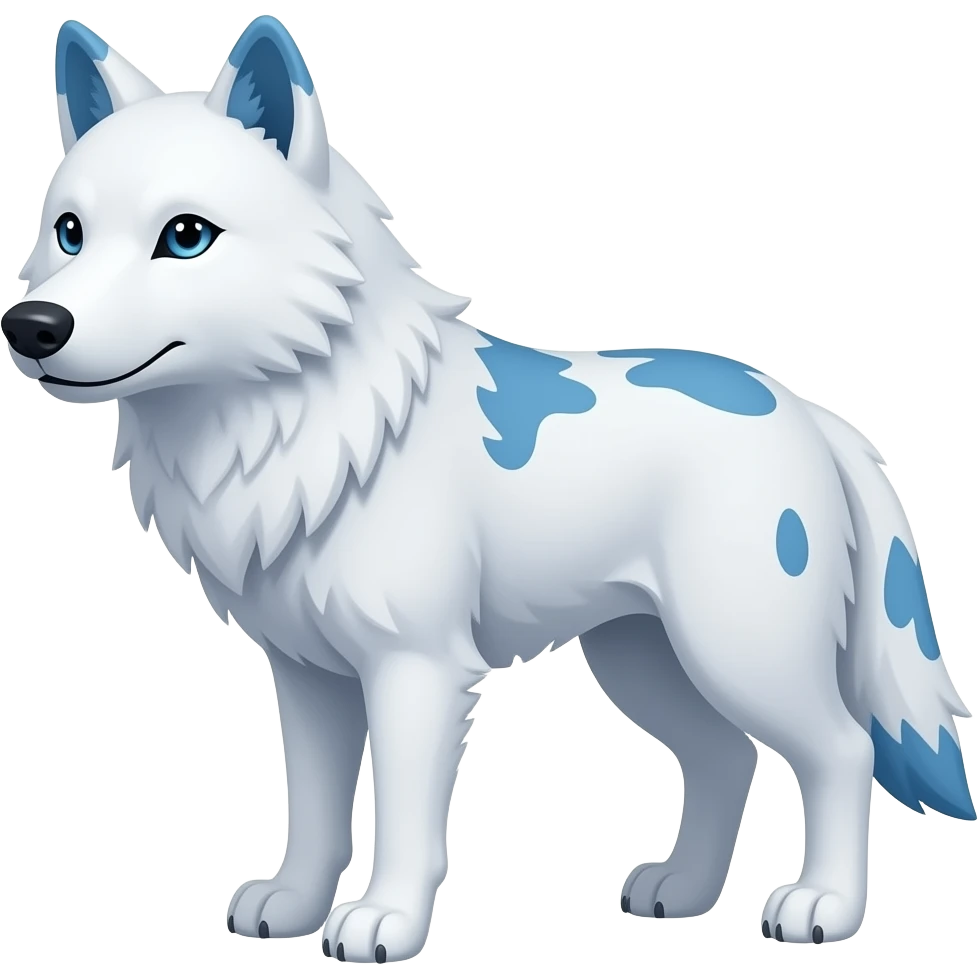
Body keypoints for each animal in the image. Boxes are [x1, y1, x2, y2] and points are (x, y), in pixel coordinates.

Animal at [2, 13, 973, 962]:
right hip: (642, 659)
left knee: (840, 751)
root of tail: (804, 409)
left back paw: (824, 908)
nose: (32, 327)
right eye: (69, 231)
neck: (318, 421)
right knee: (725, 758)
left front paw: (385, 925)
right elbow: (312, 811)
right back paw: (682, 894)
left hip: (740, 650)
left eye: (186, 236)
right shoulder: (308, 676)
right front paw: (293, 907)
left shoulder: (418, 668)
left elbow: (403, 818)